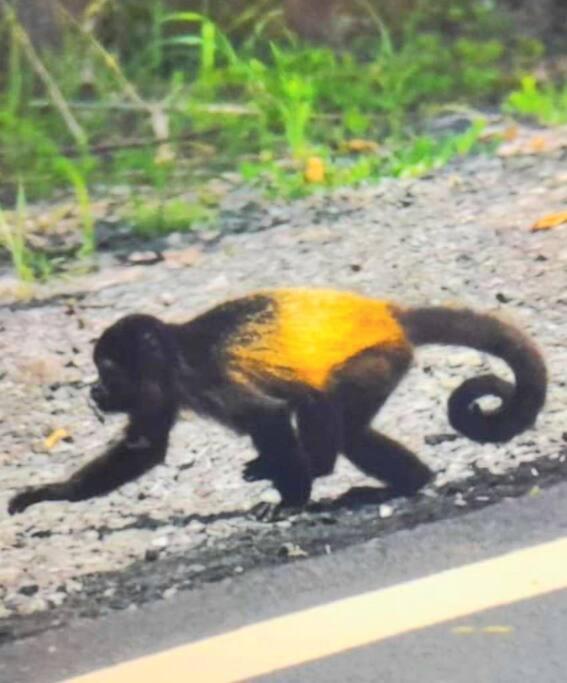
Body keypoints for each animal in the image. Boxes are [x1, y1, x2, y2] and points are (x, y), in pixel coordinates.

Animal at [8, 288, 548, 520]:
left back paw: (319, 471)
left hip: (376, 360)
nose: (95, 392)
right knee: (351, 431)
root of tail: (390, 315)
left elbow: (273, 411)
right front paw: (51, 493)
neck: (175, 358)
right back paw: (410, 482)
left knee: (331, 412)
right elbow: (145, 446)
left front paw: (293, 494)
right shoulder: (160, 390)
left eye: (108, 370)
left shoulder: (210, 378)